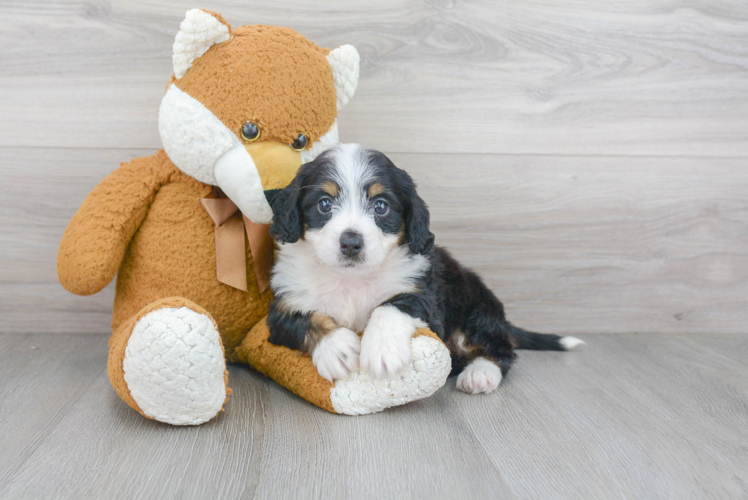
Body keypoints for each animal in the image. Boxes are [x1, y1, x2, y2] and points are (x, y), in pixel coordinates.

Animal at [262, 143, 584, 392]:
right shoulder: (284, 306)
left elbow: (390, 306)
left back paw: (480, 374)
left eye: (381, 206)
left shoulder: (423, 294)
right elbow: (306, 318)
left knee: (500, 350)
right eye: (324, 204)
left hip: (477, 309)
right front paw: (337, 348)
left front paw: (382, 350)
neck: (351, 280)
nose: (351, 243)